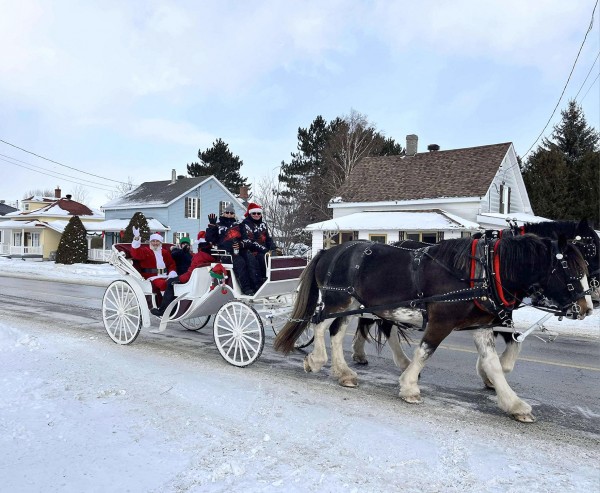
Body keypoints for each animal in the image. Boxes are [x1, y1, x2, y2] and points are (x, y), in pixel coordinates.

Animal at [274, 234, 592, 418]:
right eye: (571, 269)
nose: (587, 307)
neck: (480, 272)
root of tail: (329, 251)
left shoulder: (483, 327)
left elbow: (493, 365)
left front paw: (513, 403)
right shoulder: (442, 320)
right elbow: (425, 351)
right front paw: (409, 387)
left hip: (353, 304)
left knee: (337, 333)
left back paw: (344, 373)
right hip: (337, 300)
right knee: (319, 325)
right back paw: (316, 361)